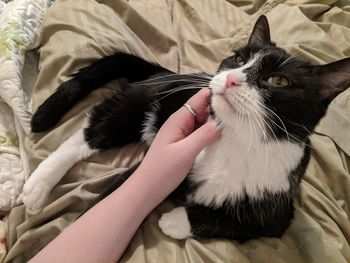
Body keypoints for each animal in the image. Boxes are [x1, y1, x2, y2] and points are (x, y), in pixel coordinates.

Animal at [23, 16, 350, 243]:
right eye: (239, 59)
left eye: (278, 80)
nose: (231, 78)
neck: (239, 140)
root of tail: (168, 74)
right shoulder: (161, 161)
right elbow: (116, 197)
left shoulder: (278, 207)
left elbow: (240, 224)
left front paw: (176, 221)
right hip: (140, 100)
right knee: (90, 133)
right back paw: (39, 184)